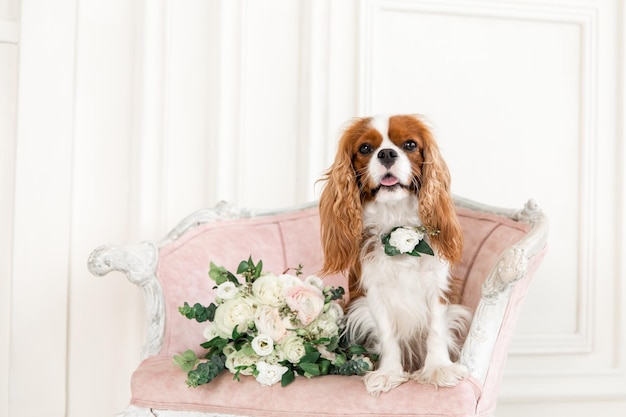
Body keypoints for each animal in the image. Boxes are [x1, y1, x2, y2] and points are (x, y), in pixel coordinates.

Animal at [320, 115, 470, 394]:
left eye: (410, 144)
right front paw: (389, 373)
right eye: (365, 148)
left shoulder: (437, 287)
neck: (395, 222)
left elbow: (436, 330)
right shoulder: (373, 292)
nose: (387, 153)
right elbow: (387, 334)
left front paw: (438, 368)